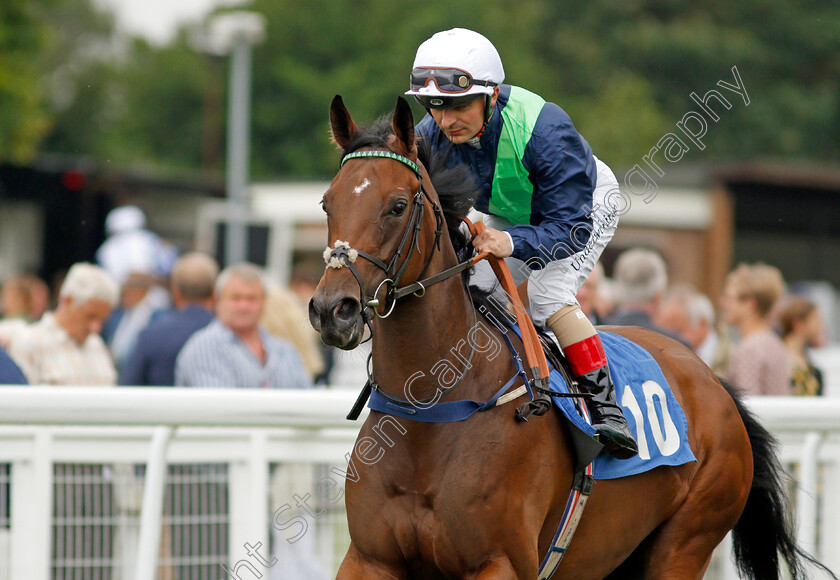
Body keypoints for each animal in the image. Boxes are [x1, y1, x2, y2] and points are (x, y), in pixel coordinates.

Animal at [306, 95, 828, 580]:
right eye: (328, 202)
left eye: (396, 206)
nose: (333, 310)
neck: (432, 410)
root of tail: (713, 382)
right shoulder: (369, 559)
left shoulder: (500, 562)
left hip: (686, 541)